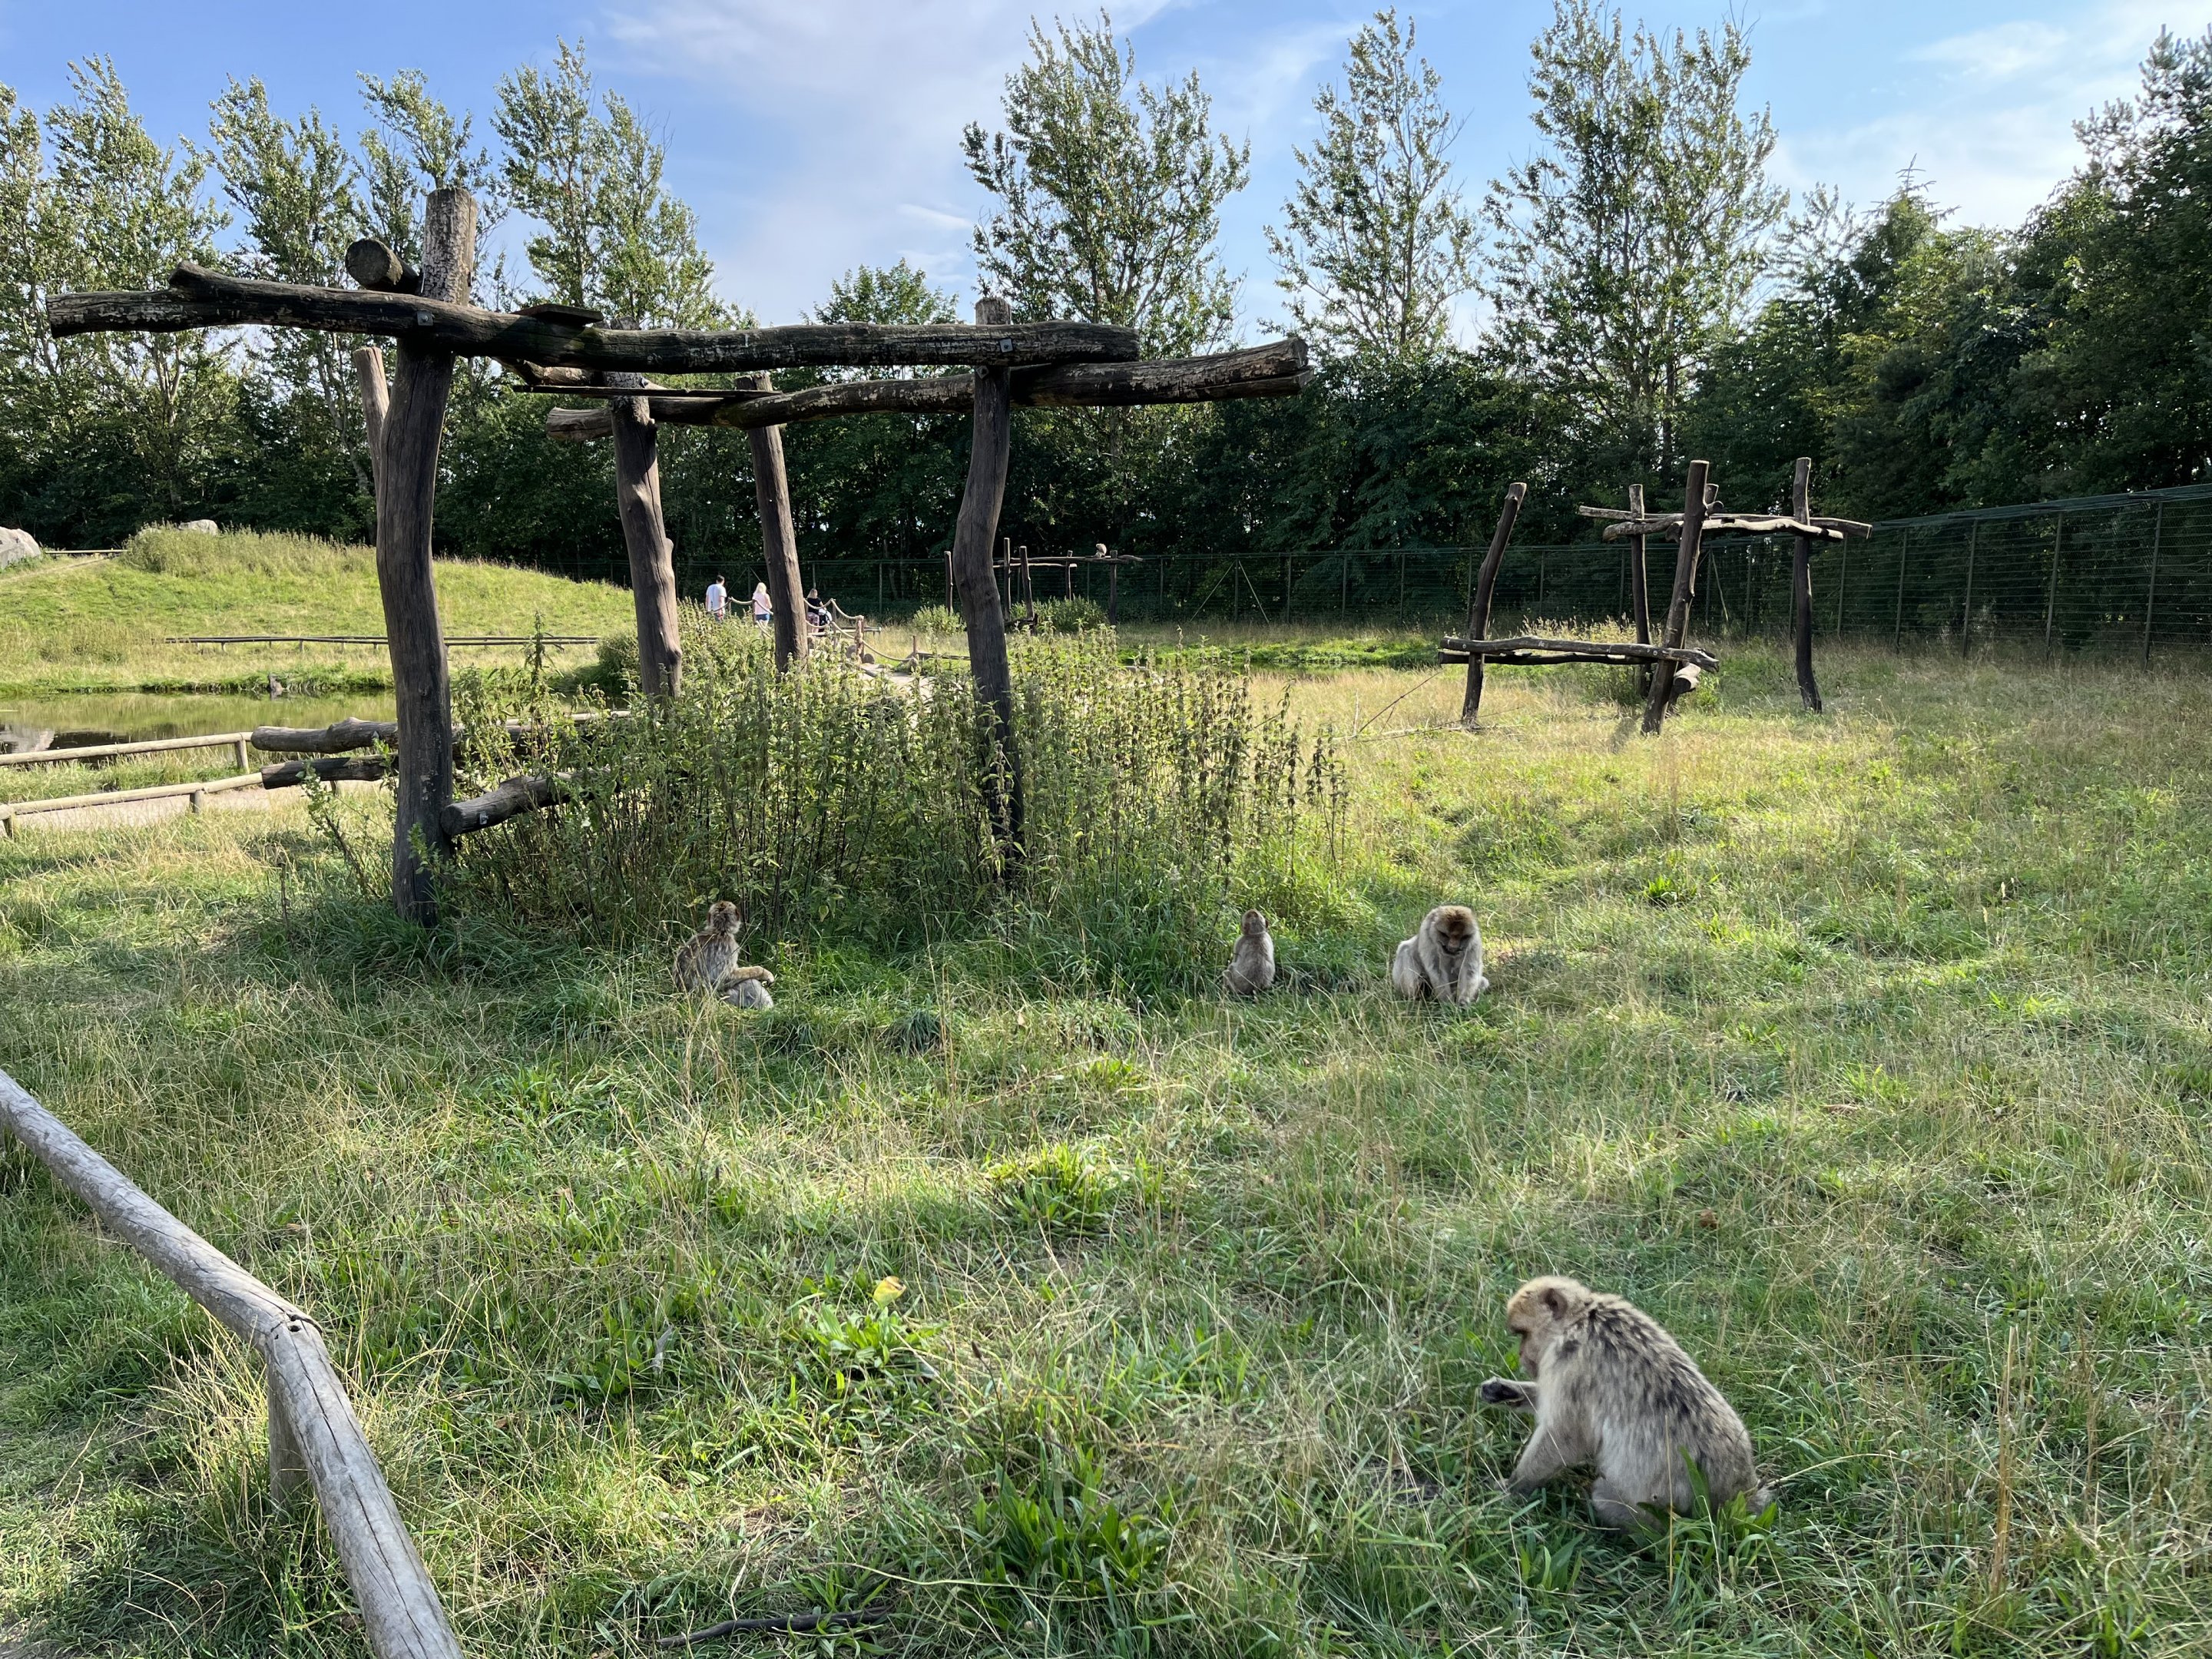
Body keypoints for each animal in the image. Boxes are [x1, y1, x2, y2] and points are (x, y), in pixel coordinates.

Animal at [1390, 904, 1488, 1004]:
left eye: (1462, 937)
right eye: (1446, 935)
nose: (1453, 945)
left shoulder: (1474, 941)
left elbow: (1469, 970)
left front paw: (1463, 1001)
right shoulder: (1427, 935)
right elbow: (1437, 969)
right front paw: (1447, 1002)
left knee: (1484, 982)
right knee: (1405, 950)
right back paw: (1420, 993)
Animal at [1479, 1275, 1770, 1530]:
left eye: (1523, 1334)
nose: (1521, 1354)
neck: (1580, 1320)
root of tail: (1740, 1492)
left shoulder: (1572, 1365)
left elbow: (1565, 1437)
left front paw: (1513, 1487)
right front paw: (1503, 1390)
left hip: (1659, 1514)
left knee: (1606, 1497)